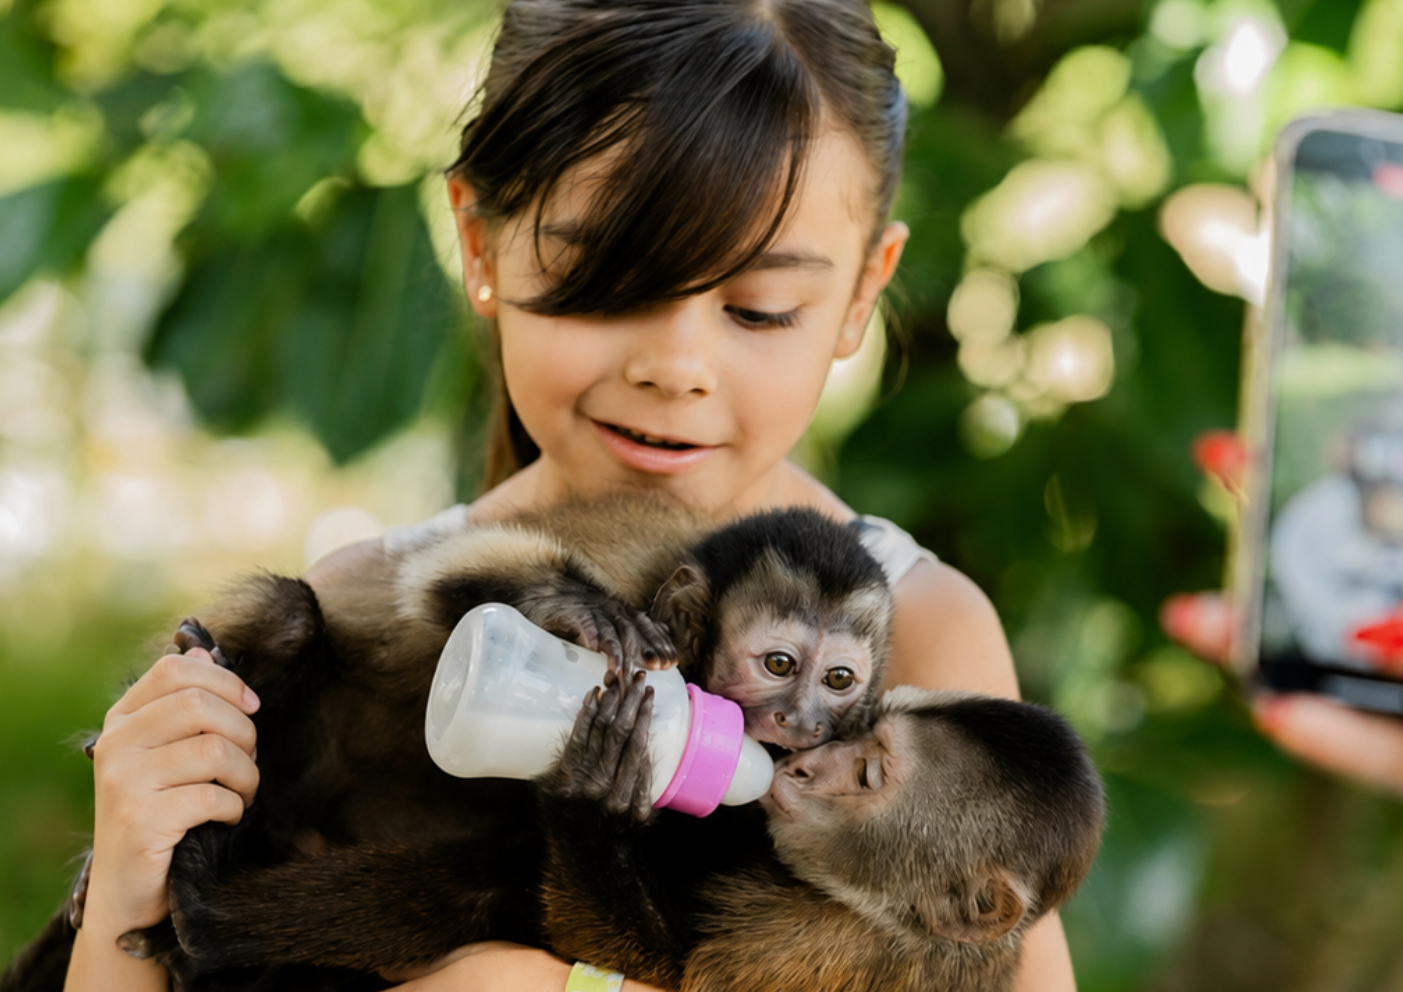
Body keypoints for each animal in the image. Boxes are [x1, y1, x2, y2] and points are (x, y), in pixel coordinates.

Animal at [2, 497, 894, 991]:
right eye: (779, 665)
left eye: (839, 681)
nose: (803, 725)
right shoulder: (640, 591)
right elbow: (440, 586)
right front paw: (569, 605)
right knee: (294, 613)